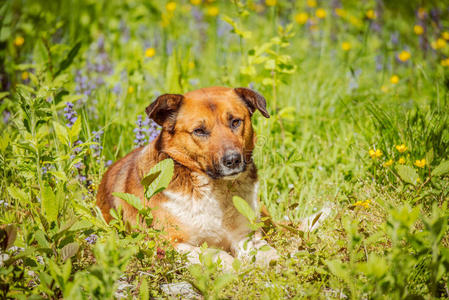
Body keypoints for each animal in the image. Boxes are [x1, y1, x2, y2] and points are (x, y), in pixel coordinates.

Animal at [96, 85, 278, 266]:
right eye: (199, 131)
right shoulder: (170, 243)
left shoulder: (245, 235)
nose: (233, 160)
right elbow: (217, 255)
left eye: (235, 122)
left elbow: (269, 254)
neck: (217, 191)